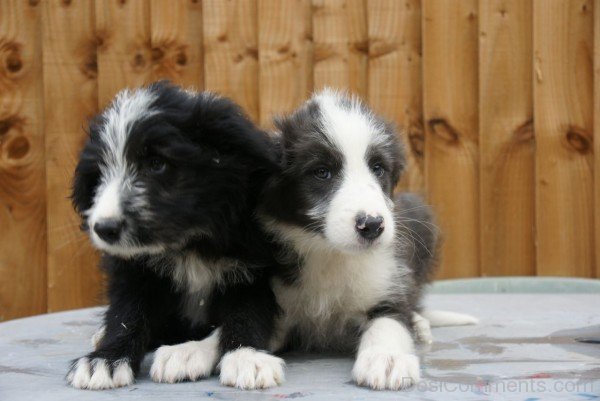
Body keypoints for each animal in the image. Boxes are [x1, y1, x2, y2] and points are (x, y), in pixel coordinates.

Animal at [66, 82, 284, 390]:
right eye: (100, 173)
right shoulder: (134, 270)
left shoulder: (254, 268)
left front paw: (245, 356)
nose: (104, 228)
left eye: (156, 163)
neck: (189, 242)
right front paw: (106, 360)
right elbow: (127, 312)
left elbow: (246, 312)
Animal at [260, 89, 438, 390]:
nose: (373, 225)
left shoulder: (387, 284)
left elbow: (390, 321)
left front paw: (386, 359)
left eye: (378, 168)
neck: (331, 253)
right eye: (322, 172)